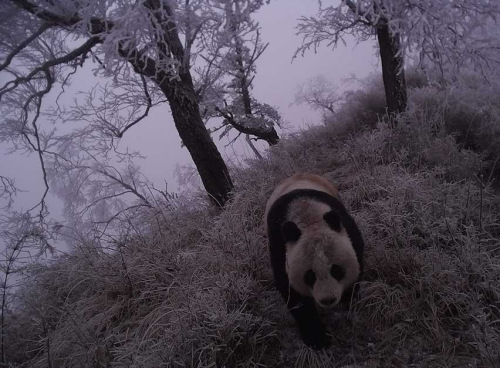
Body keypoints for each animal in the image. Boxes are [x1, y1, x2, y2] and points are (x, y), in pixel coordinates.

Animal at [266, 172, 364, 348]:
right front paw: (318, 339)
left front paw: (348, 299)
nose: (328, 299)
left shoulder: (347, 228)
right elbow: (292, 292)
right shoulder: (279, 244)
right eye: (310, 275)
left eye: (336, 270)